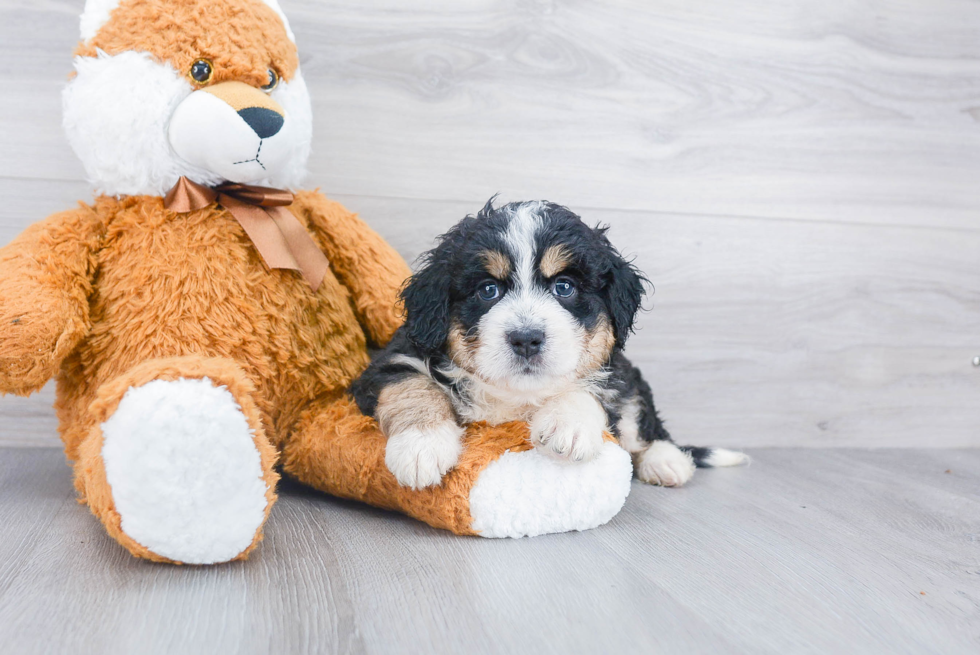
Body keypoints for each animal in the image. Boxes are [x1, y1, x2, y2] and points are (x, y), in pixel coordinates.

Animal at [348, 201, 748, 492]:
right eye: (488, 290)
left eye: (564, 287)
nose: (526, 338)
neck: (516, 397)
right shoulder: (393, 358)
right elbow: (412, 385)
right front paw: (421, 446)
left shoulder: (613, 370)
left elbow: (593, 389)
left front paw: (566, 425)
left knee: (645, 426)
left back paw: (667, 461)